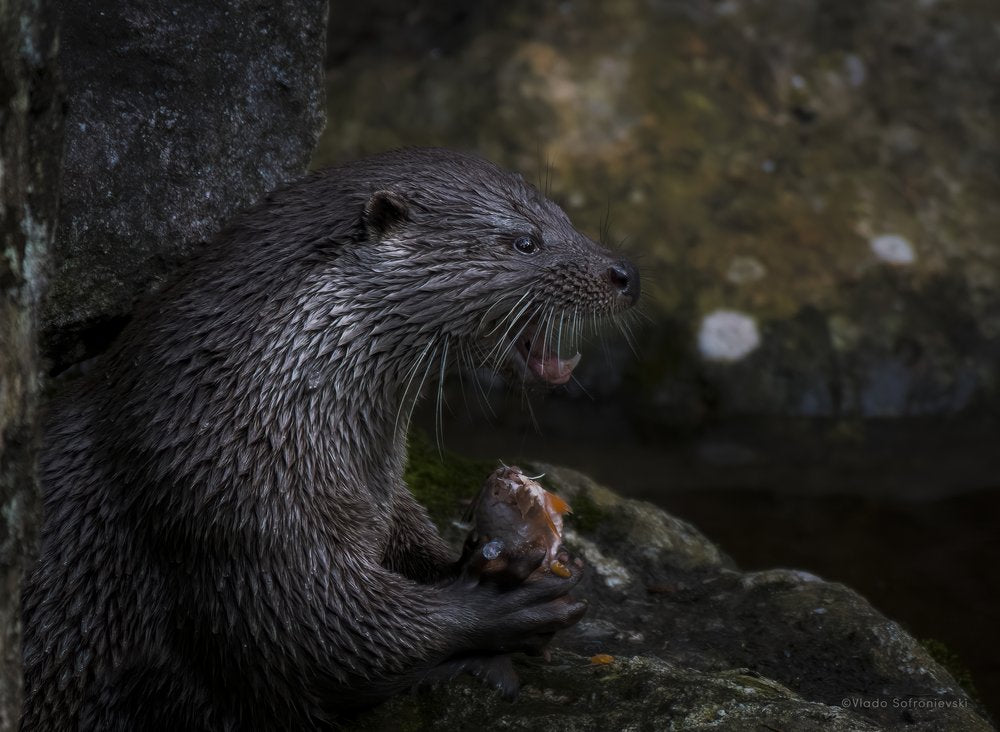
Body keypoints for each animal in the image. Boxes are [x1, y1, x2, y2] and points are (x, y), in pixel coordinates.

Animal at [22, 148, 639, 730]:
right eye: (524, 242)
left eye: (567, 219)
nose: (625, 273)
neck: (251, 403)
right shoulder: (226, 503)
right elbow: (323, 635)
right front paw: (500, 613)